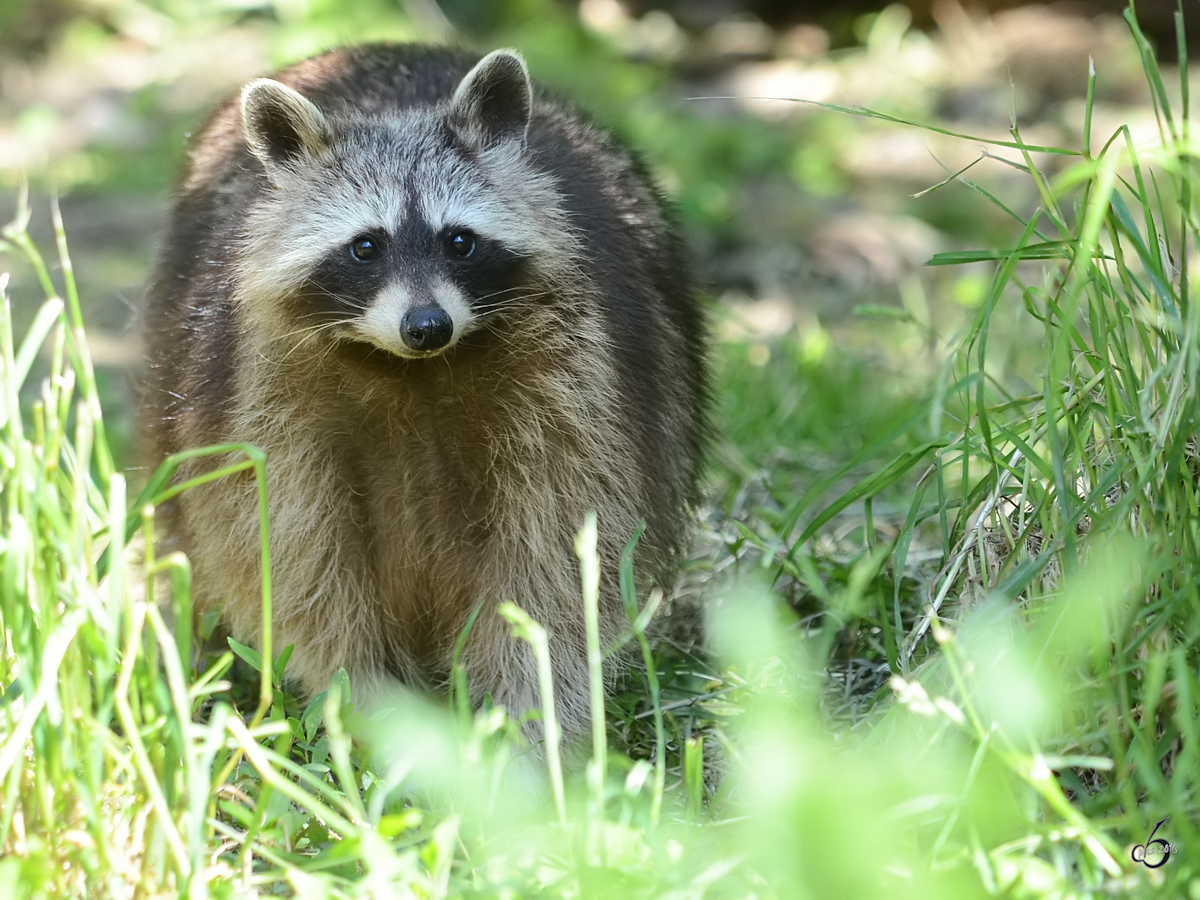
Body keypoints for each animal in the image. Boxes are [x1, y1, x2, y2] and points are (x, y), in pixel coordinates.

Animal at [141, 44, 705, 739]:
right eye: (366, 247)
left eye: (458, 240)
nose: (428, 326)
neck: (413, 371)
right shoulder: (256, 390)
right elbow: (290, 555)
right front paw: (366, 699)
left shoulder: (584, 385)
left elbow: (563, 556)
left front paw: (531, 718)